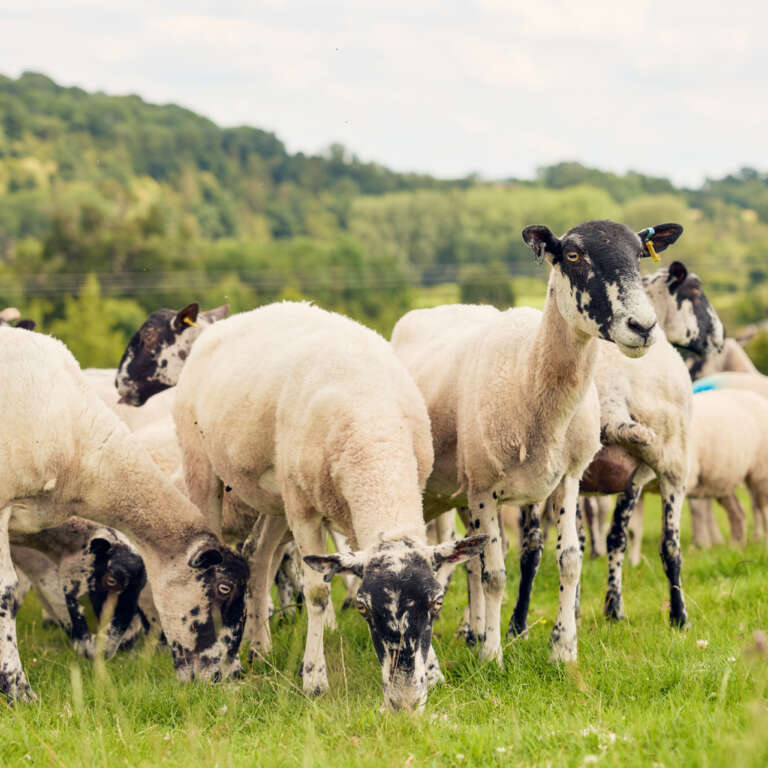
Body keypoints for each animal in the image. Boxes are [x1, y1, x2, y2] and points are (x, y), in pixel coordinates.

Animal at [390, 219, 680, 664]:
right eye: (573, 255)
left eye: (638, 254)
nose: (643, 327)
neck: (531, 371)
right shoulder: (484, 488)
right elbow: (495, 574)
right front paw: (492, 655)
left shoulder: (568, 480)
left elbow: (570, 560)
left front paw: (563, 648)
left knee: (468, 561)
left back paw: (473, 630)